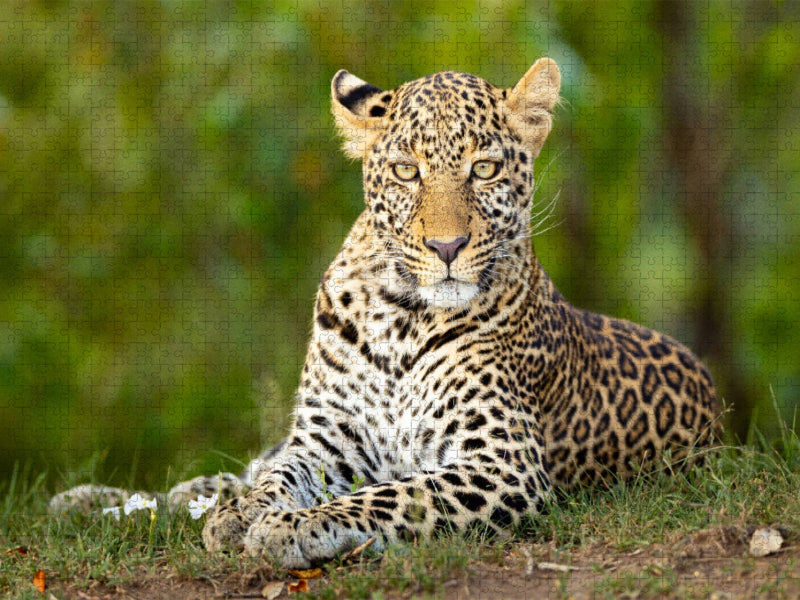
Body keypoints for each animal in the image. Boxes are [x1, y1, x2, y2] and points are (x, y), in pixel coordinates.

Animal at [50, 58, 720, 569]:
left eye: (484, 168)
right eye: (406, 170)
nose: (446, 247)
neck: (402, 318)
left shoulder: (502, 461)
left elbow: (392, 496)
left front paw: (292, 527)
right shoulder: (326, 437)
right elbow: (278, 477)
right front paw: (248, 514)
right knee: (238, 469)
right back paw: (91, 499)